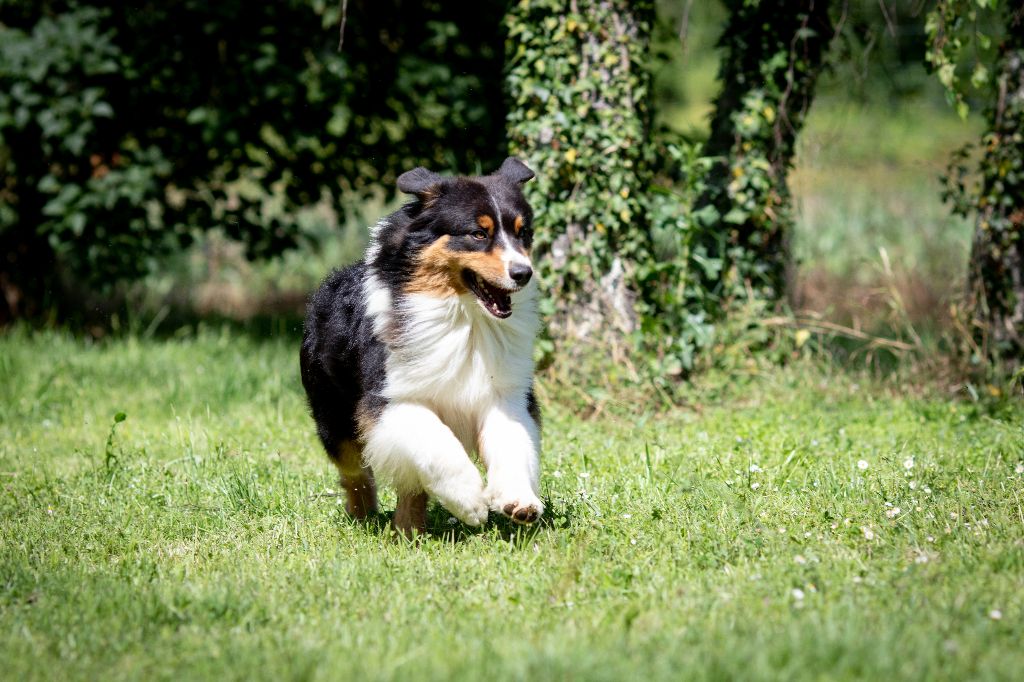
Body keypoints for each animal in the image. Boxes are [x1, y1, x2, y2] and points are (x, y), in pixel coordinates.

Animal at [299, 156, 544, 532]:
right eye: (478, 234)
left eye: (523, 233)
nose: (523, 273)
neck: (465, 319)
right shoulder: (391, 397)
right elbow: (435, 441)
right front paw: (470, 500)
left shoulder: (506, 392)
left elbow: (512, 442)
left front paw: (519, 500)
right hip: (334, 417)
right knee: (355, 470)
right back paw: (366, 514)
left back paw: (408, 527)